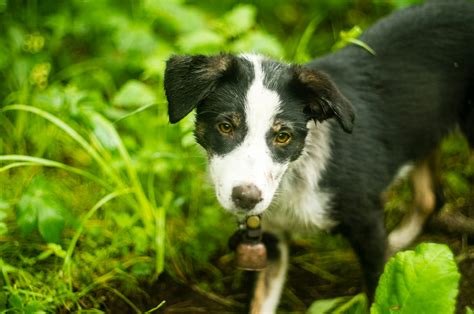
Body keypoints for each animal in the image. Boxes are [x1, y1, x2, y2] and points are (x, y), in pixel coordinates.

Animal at [164, 1, 474, 312]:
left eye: (283, 136)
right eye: (225, 127)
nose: (246, 198)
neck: (295, 178)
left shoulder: (368, 225)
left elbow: (379, 293)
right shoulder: (271, 240)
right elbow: (260, 303)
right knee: (431, 197)